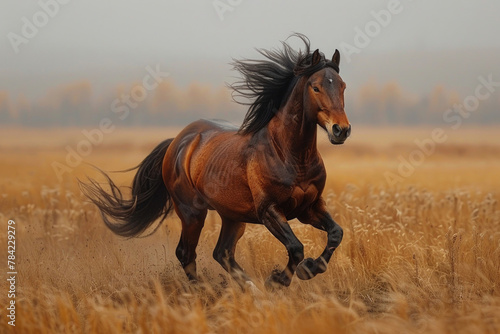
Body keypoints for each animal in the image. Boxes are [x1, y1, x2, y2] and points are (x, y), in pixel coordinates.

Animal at [80, 34, 350, 290]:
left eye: (343, 86)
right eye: (315, 87)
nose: (341, 130)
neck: (291, 155)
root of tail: (177, 142)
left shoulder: (309, 207)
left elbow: (336, 233)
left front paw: (310, 268)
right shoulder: (269, 210)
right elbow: (295, 247)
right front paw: (278, 280)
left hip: (232, 216)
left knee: (223, 253)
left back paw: (251, 290)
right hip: (192, 212)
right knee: (186, 253)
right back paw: (206, 291)